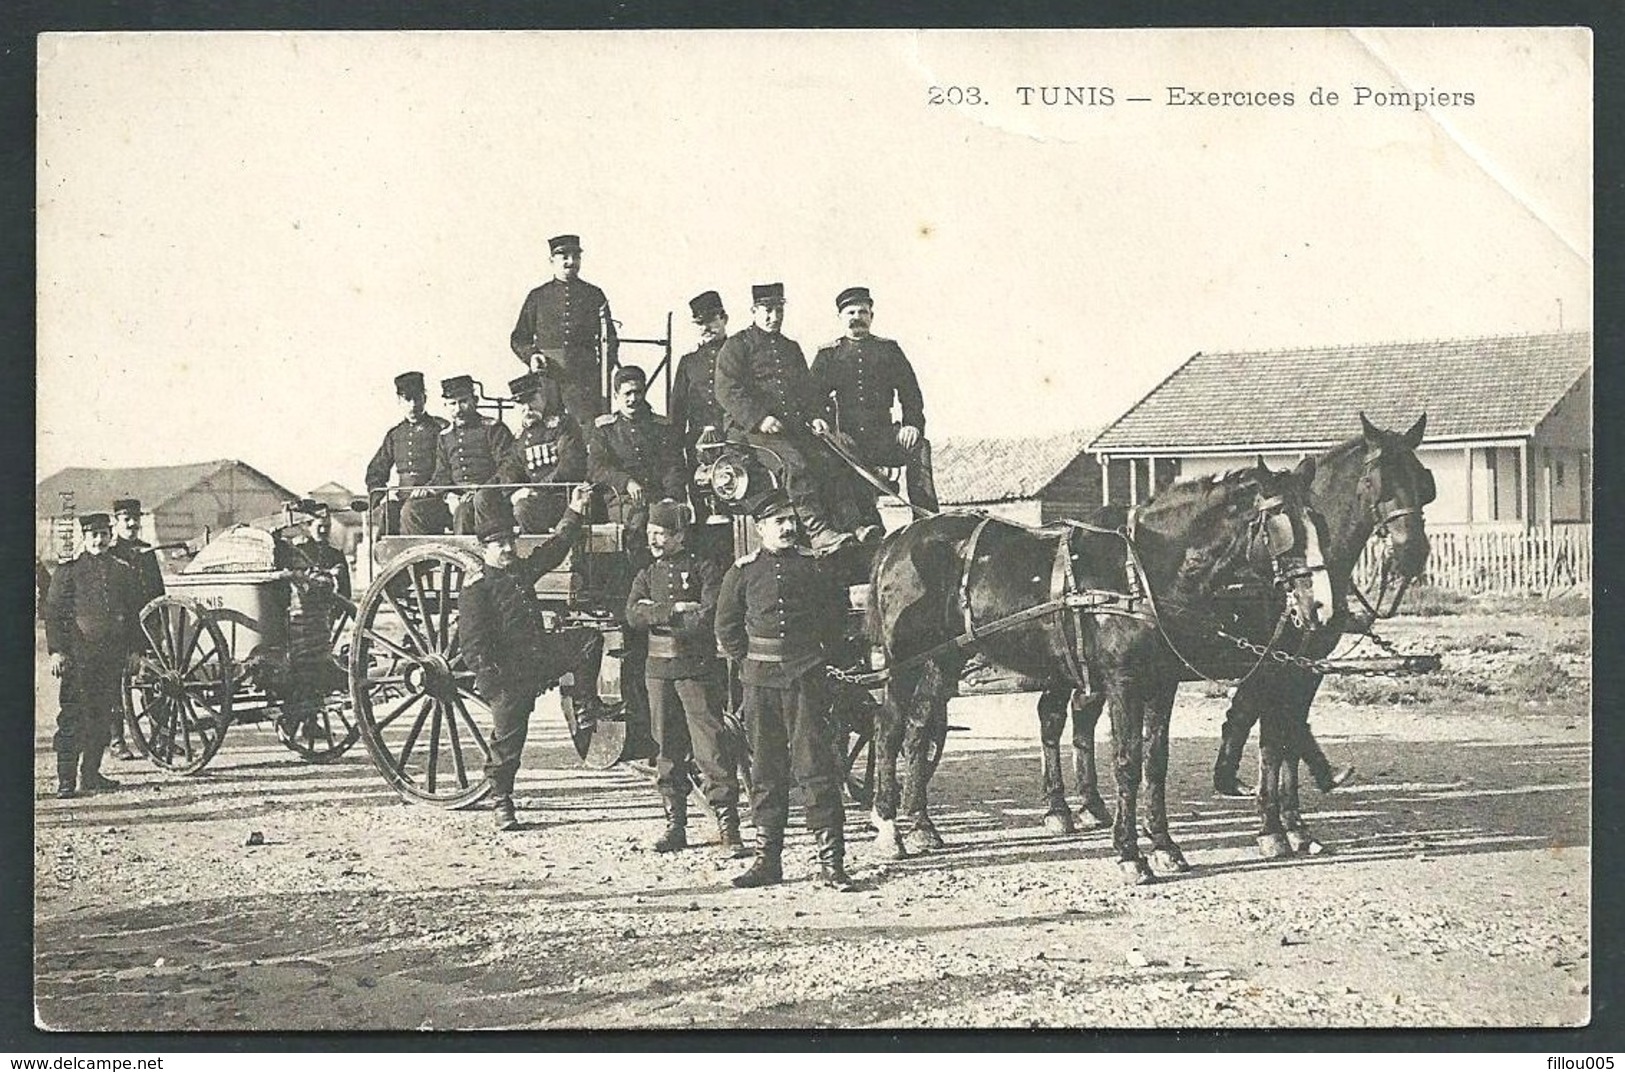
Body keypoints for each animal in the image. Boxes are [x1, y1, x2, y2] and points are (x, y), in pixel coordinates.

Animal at [864, 458, 1332, 883]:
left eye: (1320, 522)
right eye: (1282, 523)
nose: (1320, 608)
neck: (1142, 573)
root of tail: (899, 539)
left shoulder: (1162, 683)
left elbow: (1155, 762)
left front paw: (1165, 846)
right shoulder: (1123, 682)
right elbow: (1126, 762)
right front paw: (1130, 854)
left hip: (944, 658)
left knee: (919, 728)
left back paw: (921, 825)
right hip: (903, 660)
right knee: (888, 730)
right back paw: (888, 829)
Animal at [1040, 414, 1436, 857]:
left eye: (1423, 481)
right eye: (1377, 482)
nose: (1412, 553)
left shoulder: (1303, 668)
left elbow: (1286, 737)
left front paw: (1294, 821)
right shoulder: (1275, 667)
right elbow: (1274, 742)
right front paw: (1272, 827)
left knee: (1079, 715)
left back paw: (1090, 804)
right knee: (1054, 717)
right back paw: (1060, 808)